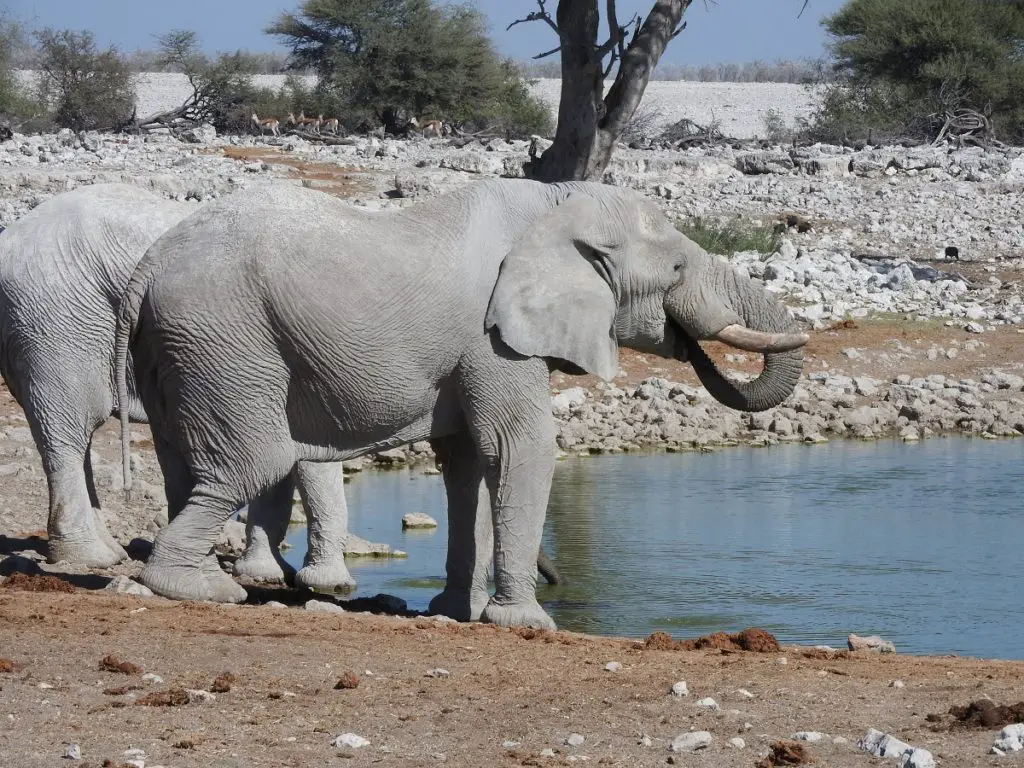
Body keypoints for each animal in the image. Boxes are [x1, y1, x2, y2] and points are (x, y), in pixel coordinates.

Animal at [117, 177, 806, 626]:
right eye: (678, 270)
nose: (688, 338)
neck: (555, 204)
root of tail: (148, 266)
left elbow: (467, 462)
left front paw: (458, 612)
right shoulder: (493, 338)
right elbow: (521, 447)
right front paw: (526, 625)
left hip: (177, 347)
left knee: (182, 463)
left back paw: (201, 578)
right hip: (223, 335)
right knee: (256, 461)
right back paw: (197, 590)